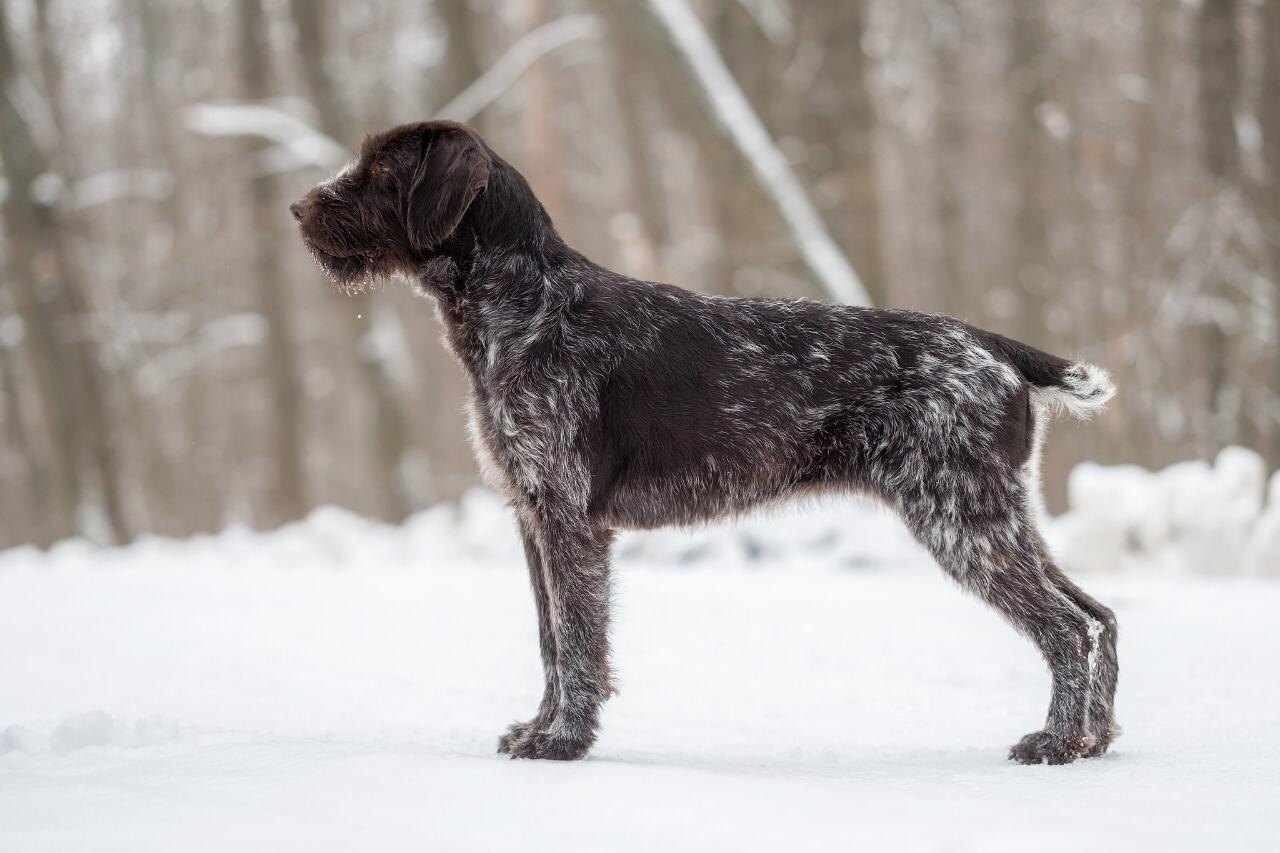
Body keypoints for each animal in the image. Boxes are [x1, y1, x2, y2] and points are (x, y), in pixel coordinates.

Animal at [293, 119, 1121, 763]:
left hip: (962, 519)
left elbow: (577, 641)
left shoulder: (565, 517)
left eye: (381, 170)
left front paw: (562, 741)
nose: (298, 207)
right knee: (1098, 615)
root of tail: (988, 342)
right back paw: (1095, 738)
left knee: (1065, 627)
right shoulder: (531, 514)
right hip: (999, 517)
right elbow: (550, 640)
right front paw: (539, 728)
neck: (523, 302)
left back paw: (1055, 743)